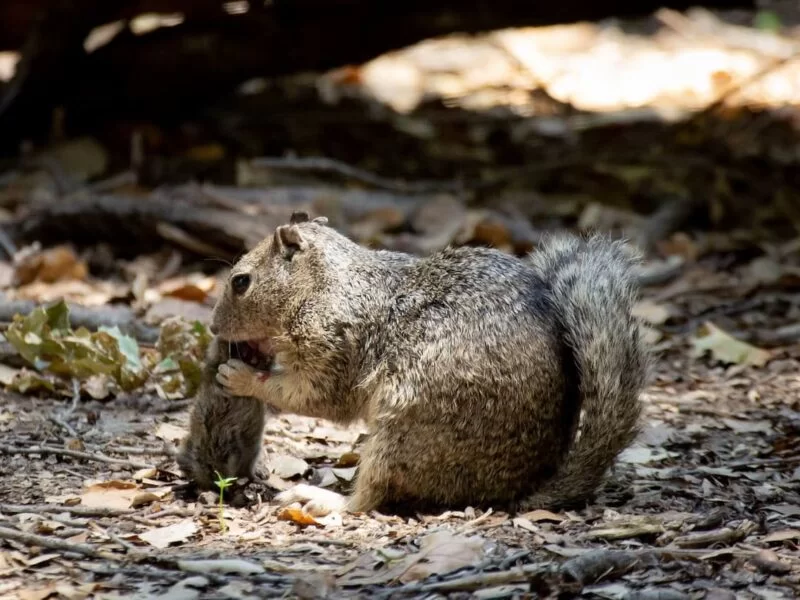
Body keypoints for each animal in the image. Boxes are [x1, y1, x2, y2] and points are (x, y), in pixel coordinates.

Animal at [195, 212, 648, 516]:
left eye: (241, 282)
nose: (215, 327)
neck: (324, 286)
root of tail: (513, 491)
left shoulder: (333, 347)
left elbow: (308, 396)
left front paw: (241, 377)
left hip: (404, 429)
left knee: (367, 500)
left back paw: (322, 498)